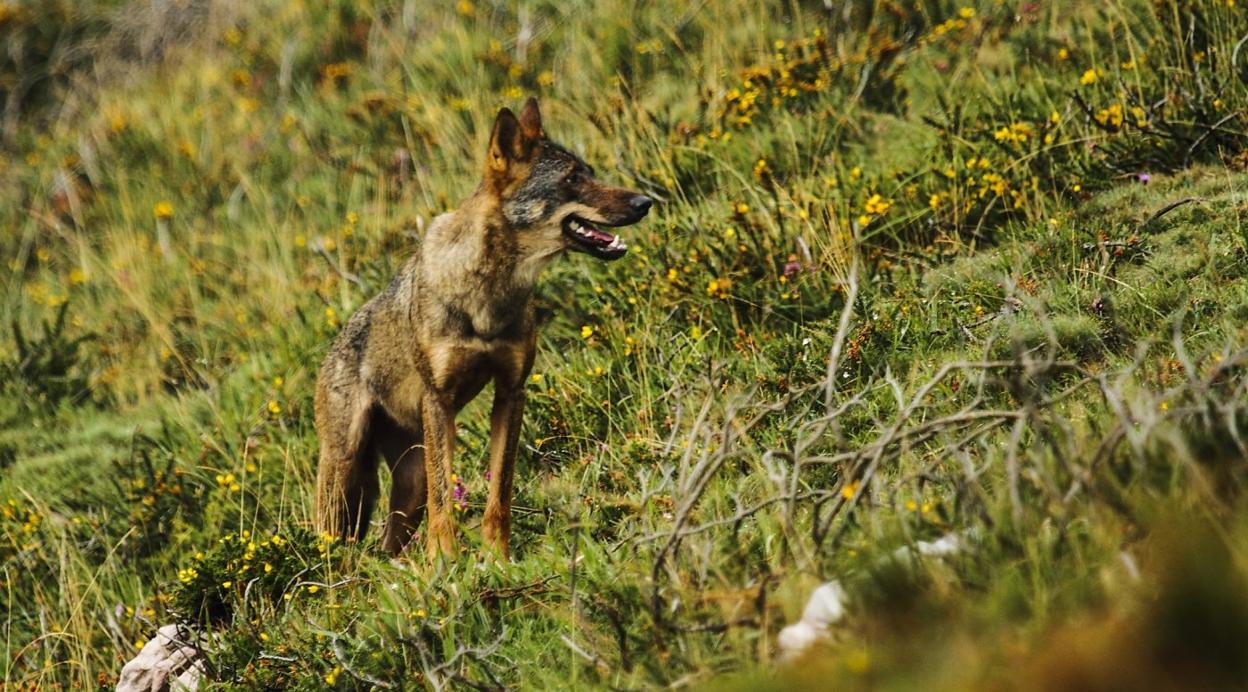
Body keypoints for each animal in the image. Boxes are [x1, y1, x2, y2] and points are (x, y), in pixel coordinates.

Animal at [312, 96, 653, 557]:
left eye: (590, 171)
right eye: (572, 179)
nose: (644, 202)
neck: (489, 292)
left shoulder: (511, 392)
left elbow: (499, 494)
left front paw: (496, 559)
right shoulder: (438, 399)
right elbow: (445, 502)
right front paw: (445, 562)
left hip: (408, 484)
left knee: (388, 547)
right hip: (343, 478)